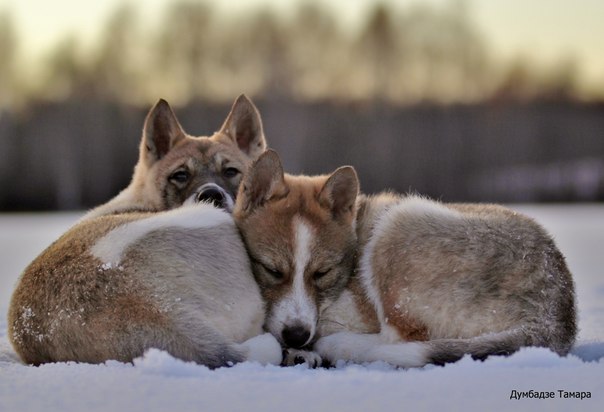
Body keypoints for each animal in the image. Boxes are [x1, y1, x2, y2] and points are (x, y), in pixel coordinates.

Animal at [231, 151, 576, 366]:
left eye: (322, 273)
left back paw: (335, 347)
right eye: (272, 270)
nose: (298, 335)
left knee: (399, 340)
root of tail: (554, 315)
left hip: (400, 223)